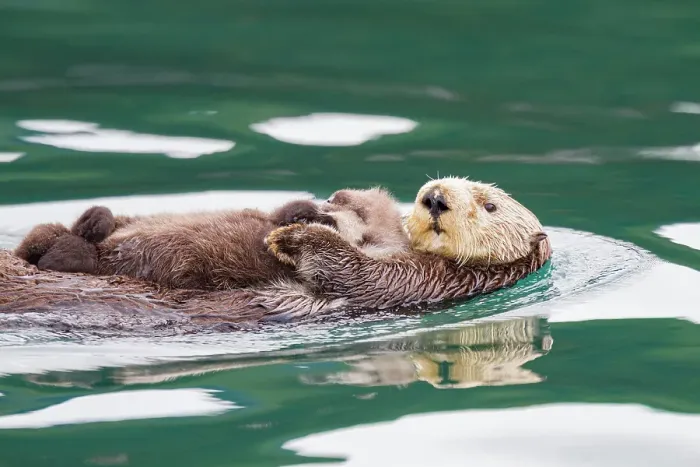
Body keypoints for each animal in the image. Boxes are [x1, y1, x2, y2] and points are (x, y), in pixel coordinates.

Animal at [14, 187, 409, 290]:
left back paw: (77, 242)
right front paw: (299, 211)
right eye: (338, 198)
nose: (328, 201)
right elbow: (276, 216)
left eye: (357, 210)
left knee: (64, 254)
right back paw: (93, 220)